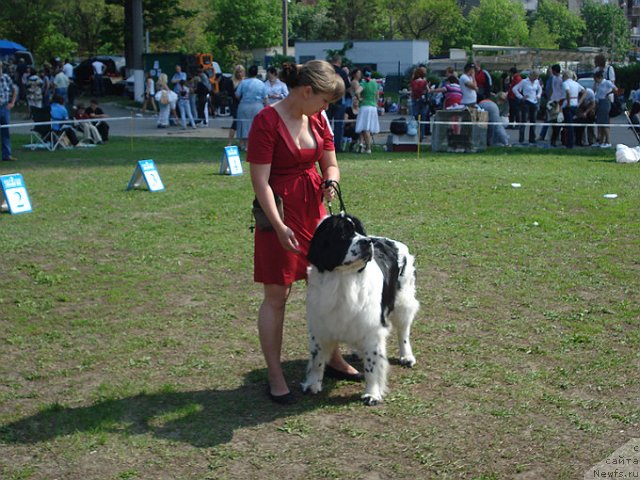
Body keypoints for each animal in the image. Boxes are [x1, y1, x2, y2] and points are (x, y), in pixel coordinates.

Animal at [304, 214, 420, 404]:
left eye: (359, 231)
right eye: (343, 233)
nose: (367, 241)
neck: (342, 278)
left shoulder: (372, 328)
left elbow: (372, 365)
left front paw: (372, 394)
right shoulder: (319, 325)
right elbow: (317, 359)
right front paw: (312, 384)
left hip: (403, 300)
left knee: (403, 331)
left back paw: (406, 356)